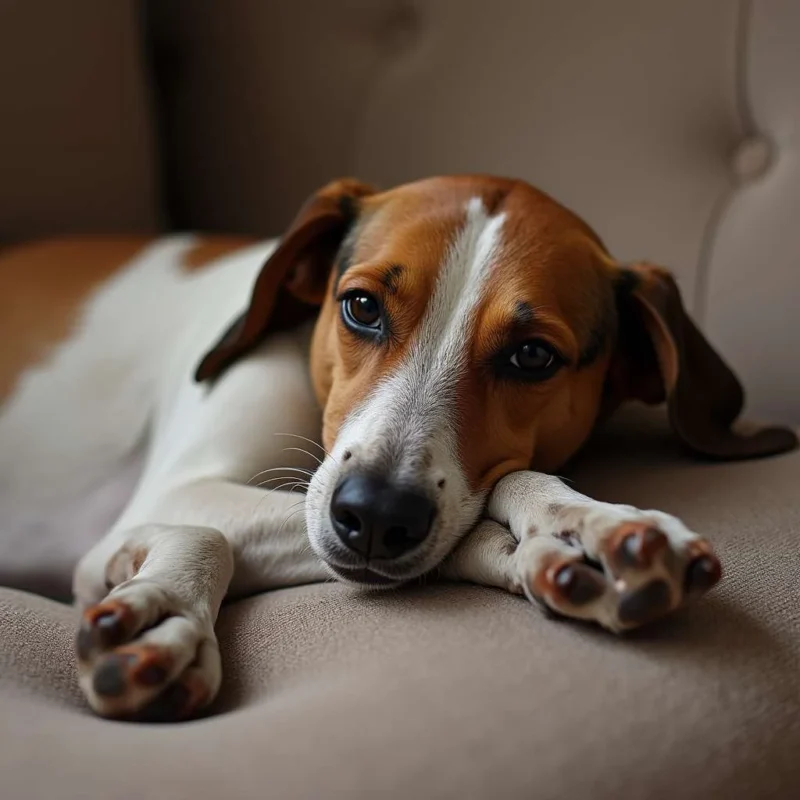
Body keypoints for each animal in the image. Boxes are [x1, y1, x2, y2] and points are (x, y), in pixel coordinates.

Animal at [0, 173, 792, 720]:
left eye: (532, 356)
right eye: (361, 307)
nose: (376, 515)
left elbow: (500, 497)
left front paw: (583, 526)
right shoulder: (169, 497)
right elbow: (206, 531)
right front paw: (169, 615)